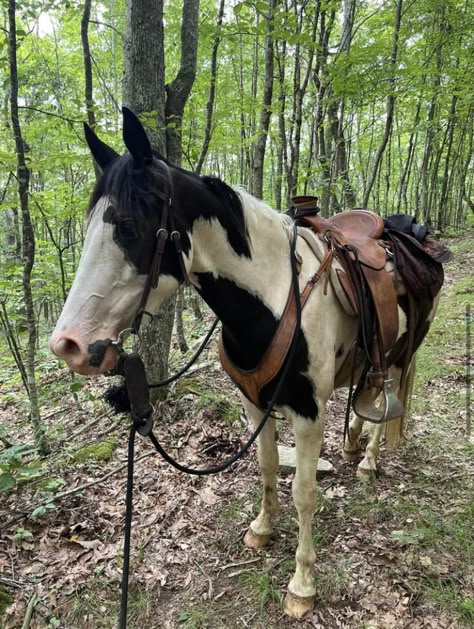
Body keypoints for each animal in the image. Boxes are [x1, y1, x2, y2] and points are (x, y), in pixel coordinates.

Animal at [50, 109, 438, 620]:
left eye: (128, 227)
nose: (68, 344)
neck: (274, 298)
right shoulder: (255, 404)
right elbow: (268, 466)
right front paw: (261, 529)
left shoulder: (309, 414)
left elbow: (304, 493)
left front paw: (302, 583)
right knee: (366, 395)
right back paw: (353, 443)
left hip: (402, 355)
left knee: (388, 400)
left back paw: (370, 460)